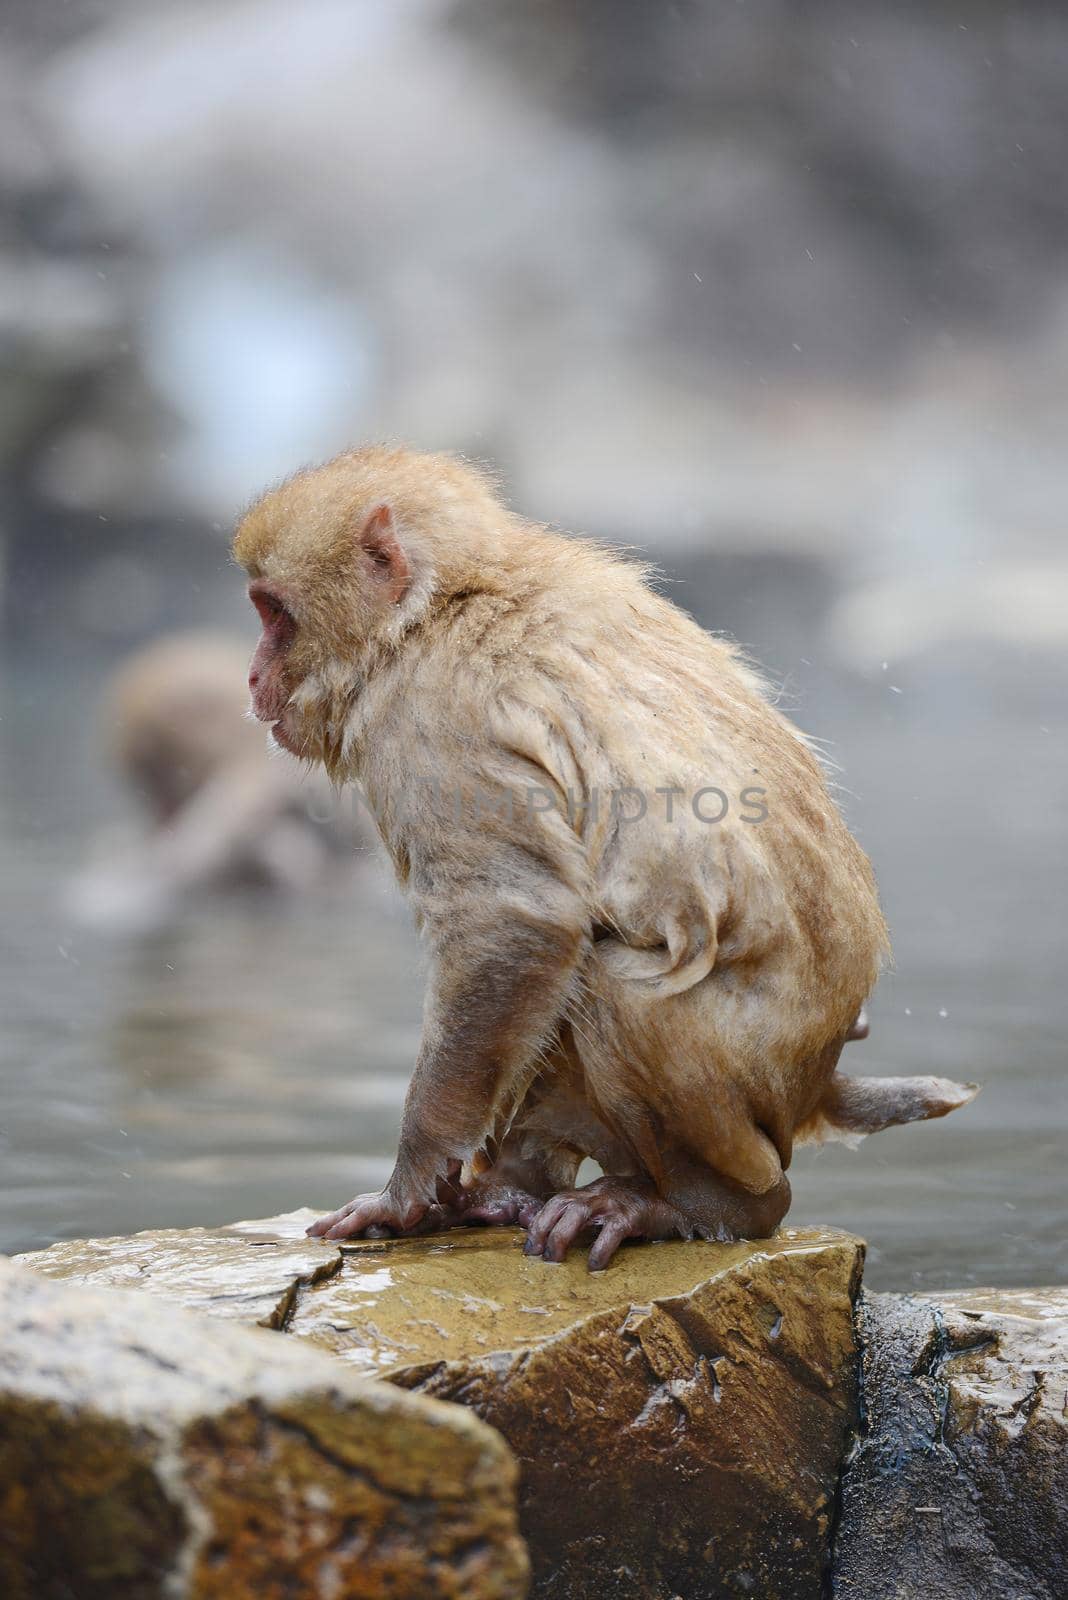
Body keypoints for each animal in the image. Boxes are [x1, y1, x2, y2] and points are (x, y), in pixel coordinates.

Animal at [233, 444, 978, 1267]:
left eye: (273, 612)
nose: (251, 676)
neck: (434, 610)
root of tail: (818, 1081)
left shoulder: (432, 723)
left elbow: (512, 921)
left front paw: (404, 1193)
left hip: (753, 1087)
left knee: (613, 983)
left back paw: (706, 1205)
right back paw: (514, 1186)